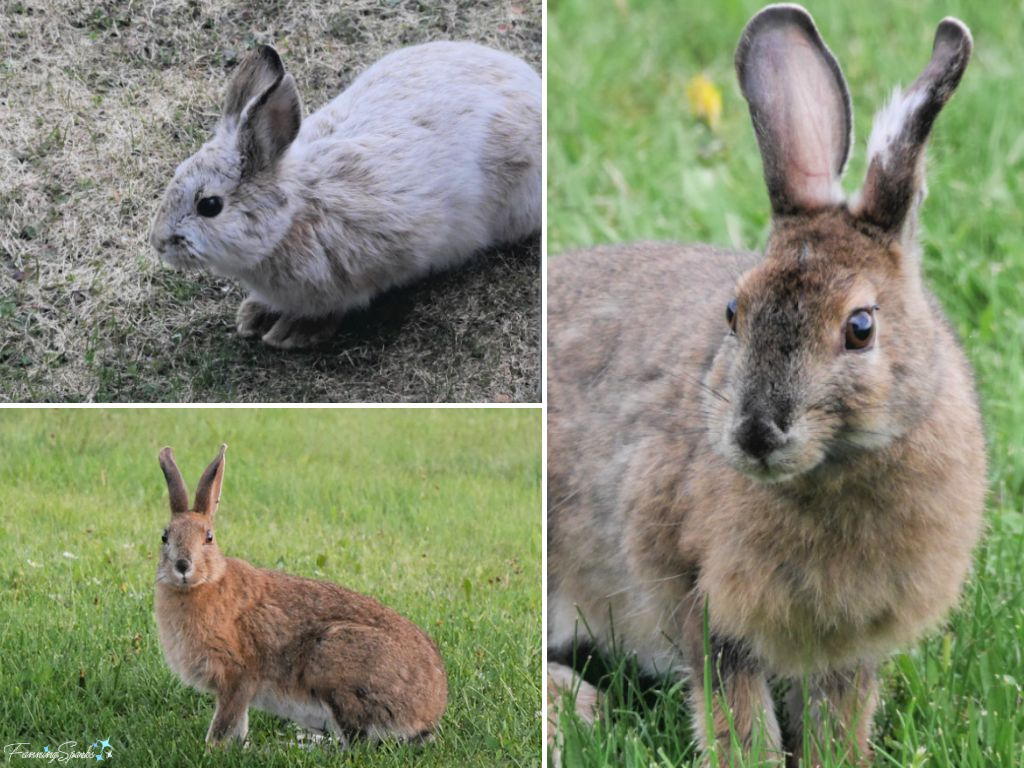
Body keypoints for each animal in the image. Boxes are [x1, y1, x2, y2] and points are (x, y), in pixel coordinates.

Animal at [154, 444, 447, 746]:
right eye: (164, 537)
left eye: (209, 537)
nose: (183, 566)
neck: (204, 584)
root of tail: (429, 710)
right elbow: (239, 723)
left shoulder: (238, 676)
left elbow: (224, 724)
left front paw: (210, 749)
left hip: (333, 660)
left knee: (356, 741)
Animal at [547, 5, 985, 767]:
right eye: (734, 312)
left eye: (861, 327)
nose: (755, 432)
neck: (836, 467)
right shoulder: (701, 598)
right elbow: (736, 709)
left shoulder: (847, 643)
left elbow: (839, 713)